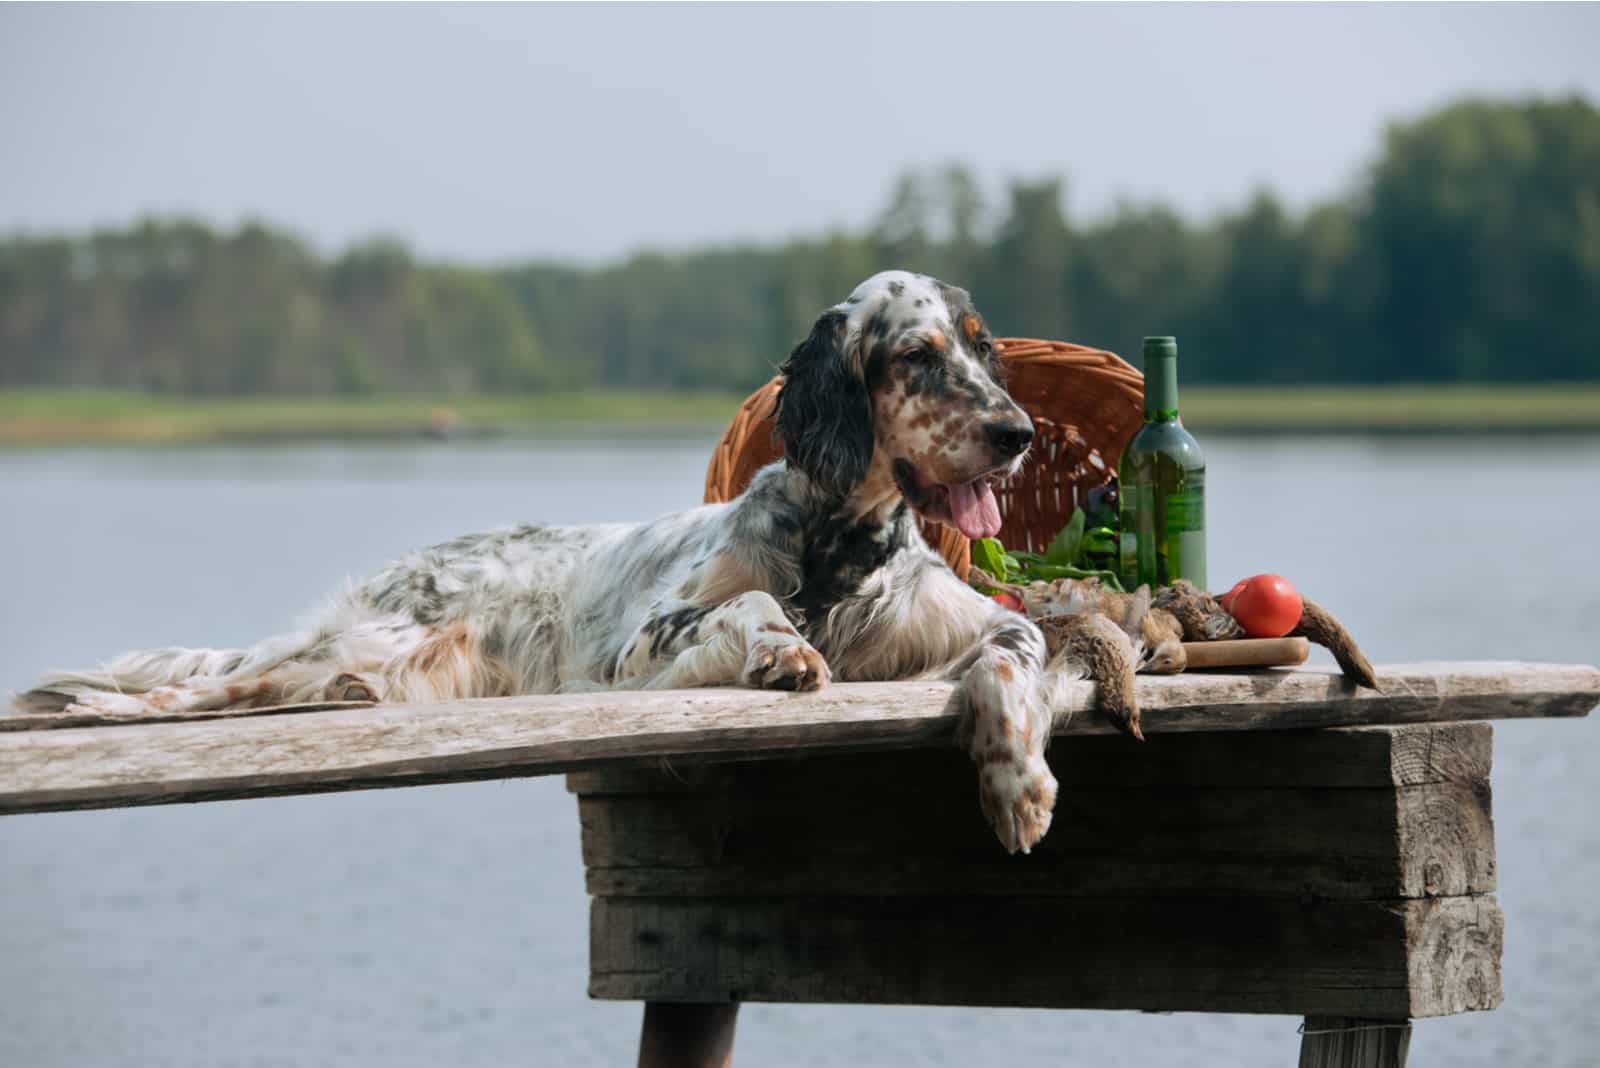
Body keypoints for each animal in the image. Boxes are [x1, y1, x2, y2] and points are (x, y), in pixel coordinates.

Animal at [18, 271, 1120, 856]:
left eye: (982, 347)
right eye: (919, 355)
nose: (1017, 434)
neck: (838, 544)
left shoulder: (977, 623)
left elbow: (1017, 653)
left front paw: (1018, 784)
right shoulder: (639, 648)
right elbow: (752, 607)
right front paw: (782, 652)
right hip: (383, 635)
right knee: (202, 690)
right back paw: (78, 708)